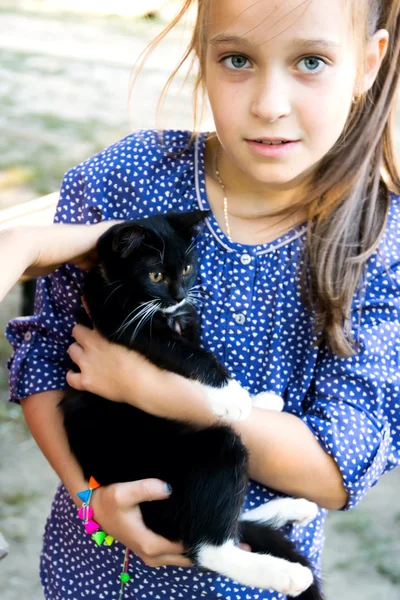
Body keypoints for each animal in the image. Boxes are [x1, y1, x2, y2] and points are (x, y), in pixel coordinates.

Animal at [58, 211, 322, 600]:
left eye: (186, 268)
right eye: (154, 275)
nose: (180, 294)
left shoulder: (184, 318)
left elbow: (197, 344)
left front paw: (259, 400)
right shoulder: (127, 324)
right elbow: (194, 355)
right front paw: (234, 397)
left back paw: (293, 507)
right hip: (194, 456)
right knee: (207, 546)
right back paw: (287, 573)